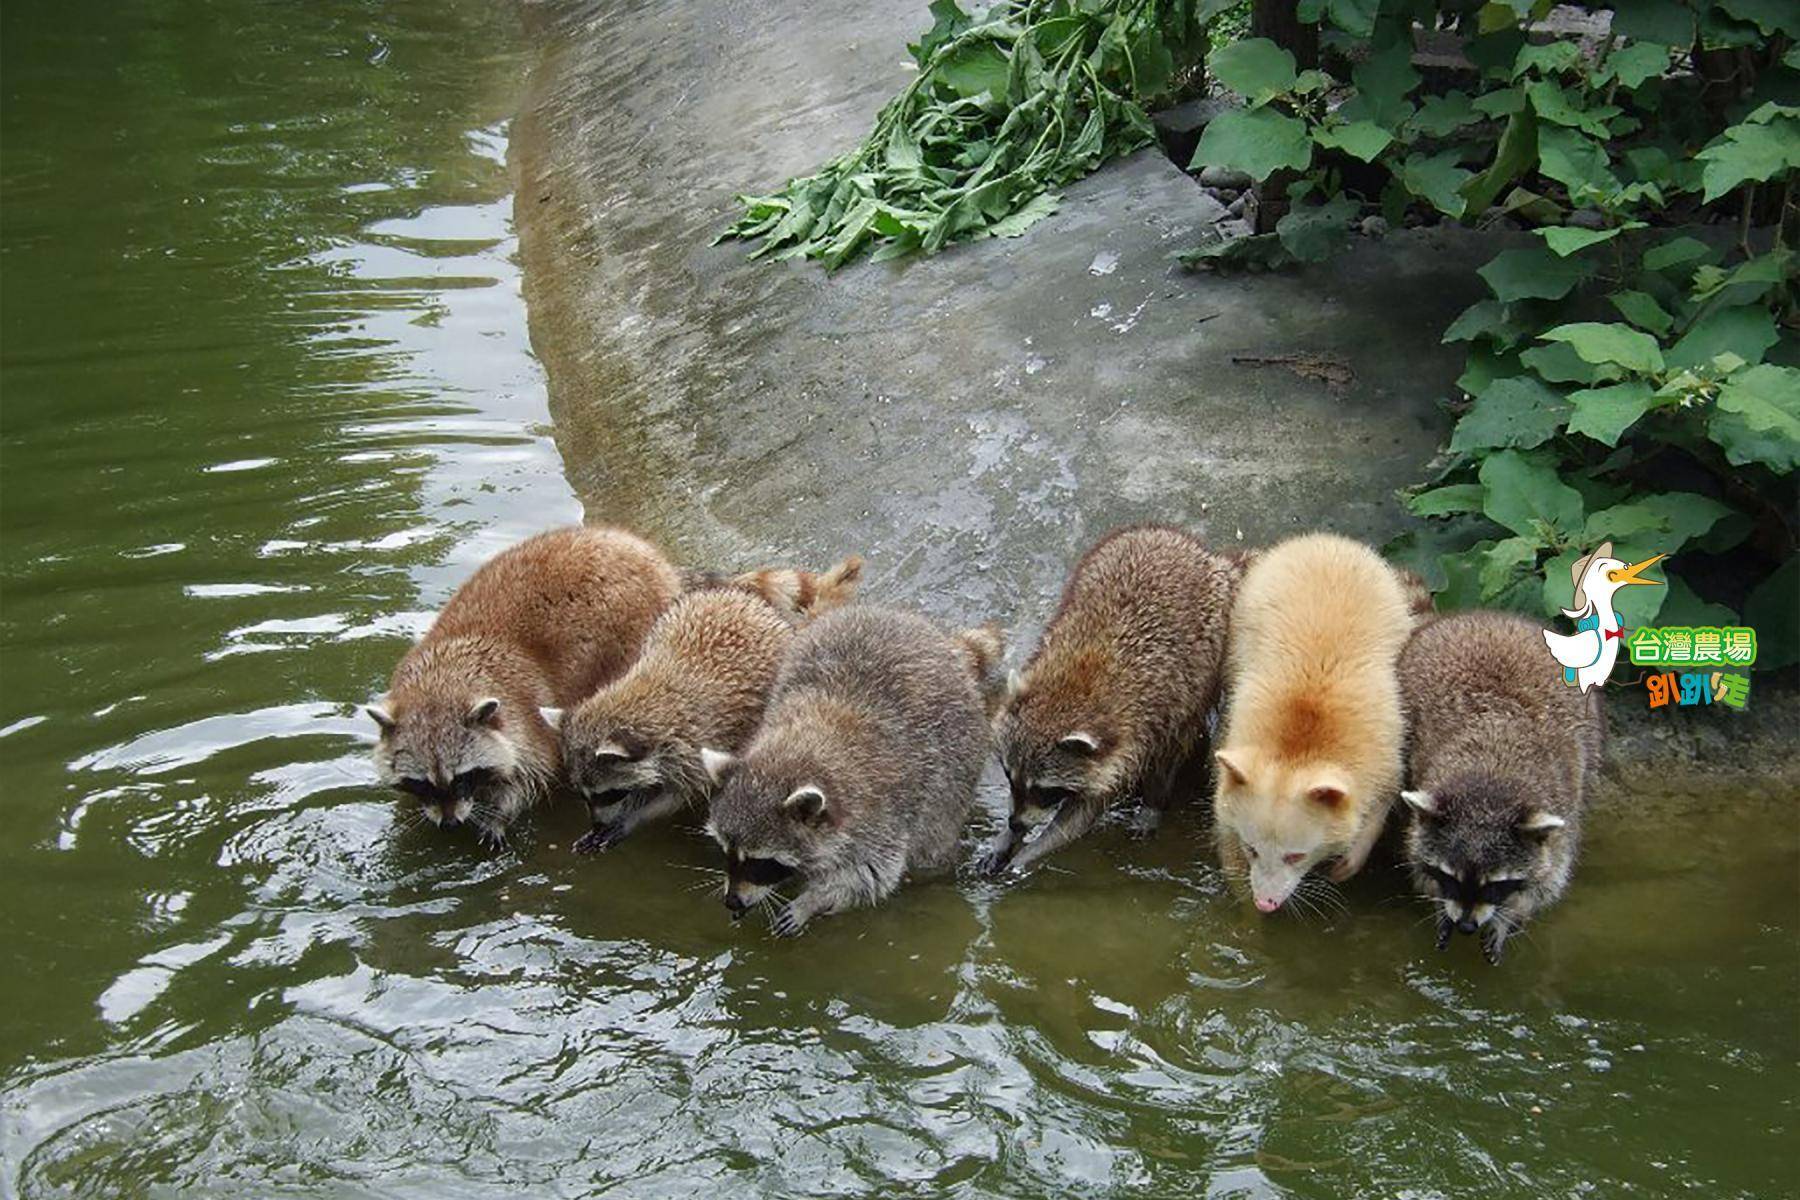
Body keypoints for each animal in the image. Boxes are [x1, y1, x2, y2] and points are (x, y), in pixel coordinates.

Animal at [365, 525, 680, 845]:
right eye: (422, 783)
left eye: (462, 777)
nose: (450, 824)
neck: (440, 683)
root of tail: (625, 541)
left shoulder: (524, 714)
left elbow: (529, 774)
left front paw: (499, 815)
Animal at [554, 557, 864, 849]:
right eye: (583, 794)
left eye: (608, 794)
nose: (597, 824)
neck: (647, 695)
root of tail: (738, 597)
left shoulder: (697, 744)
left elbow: (678, 795)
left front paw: (632, 819)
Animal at [698, 611, 1000, 935]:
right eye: (727, 851)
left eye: (760, 862)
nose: (732, 901)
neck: (798, 748)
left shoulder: (879, 818)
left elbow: (869, 876)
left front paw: (813, 901)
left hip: (955, 773)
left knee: (933, 842)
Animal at [986, 525, 1238, 874]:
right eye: (1009, 777)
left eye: (1044, 790)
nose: (1014, 824)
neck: (1072, 688)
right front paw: (1007, 839)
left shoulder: (1141, 730)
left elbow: (1084, 812)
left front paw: (1032, 851)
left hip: (1209, 654)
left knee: (1180, 739)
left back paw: (1153, 803)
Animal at [1389, 611, 1605, 964]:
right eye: (1449, 878)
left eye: (1495, 886)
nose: (1465, 926)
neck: (1490, 781)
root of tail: (1492, 616)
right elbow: (1415, 853)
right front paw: (1439, 904)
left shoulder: (1562, 813)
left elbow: (1550, 877)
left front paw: (1510, 916)